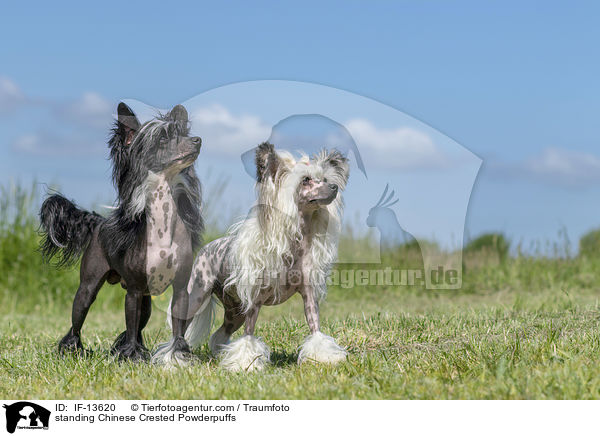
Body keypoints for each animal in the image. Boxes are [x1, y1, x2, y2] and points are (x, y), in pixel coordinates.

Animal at [40, 102, 204, 362]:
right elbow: (130, 322)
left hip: (146, 301)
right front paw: (132, 357)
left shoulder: (179, 289)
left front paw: (177, 356)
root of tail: (98, 222)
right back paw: (73, 351)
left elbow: (177, 327)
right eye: (163, 138)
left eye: (183, 133)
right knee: (77, 323)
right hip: (87, 289)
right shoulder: (134, 291)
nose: (197, 140)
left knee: (135, 328)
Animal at [157, 144, 350, 372]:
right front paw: (246, 364)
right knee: (178, 331)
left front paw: (324, 357)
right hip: (196, 297)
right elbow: (249, 337)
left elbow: (315, 329)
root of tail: (208, 247)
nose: (334, 188)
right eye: (306, 180)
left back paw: (219, 354)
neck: (294, 246)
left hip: (235, 312)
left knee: (220, 334)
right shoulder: (254, 302)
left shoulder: (309, 296)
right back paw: (173, 360)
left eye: (325, 178)